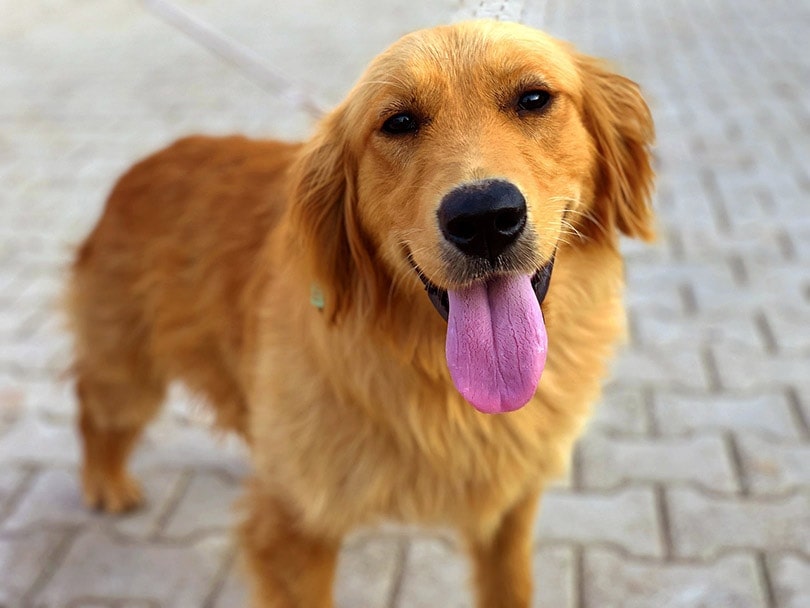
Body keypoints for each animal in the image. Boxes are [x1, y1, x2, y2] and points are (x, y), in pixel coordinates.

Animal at [66, 20, 652, 608]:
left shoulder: (511, 504)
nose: (484, 218)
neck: (436, 379)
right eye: (399, 122)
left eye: (534, 99)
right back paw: (106, 480)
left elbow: (509, 585)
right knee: (93, 406)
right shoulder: (295, 527)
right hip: (127, 369)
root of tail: (147, 161)